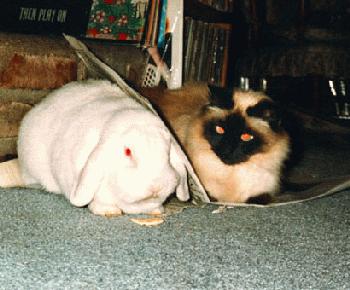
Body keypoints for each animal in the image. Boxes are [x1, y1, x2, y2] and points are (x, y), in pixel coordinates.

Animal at [139, 82, 290, 203]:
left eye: (246, 137)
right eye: (220, 130)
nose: (227, 151)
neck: (230, 175)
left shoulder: (262, 193)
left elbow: (259, 199)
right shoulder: (203, 192)